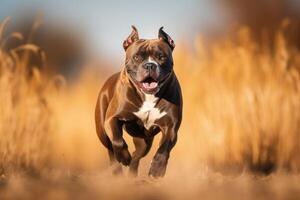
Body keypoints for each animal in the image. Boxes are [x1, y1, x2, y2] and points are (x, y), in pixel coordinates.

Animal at [95, 25, 182, 177]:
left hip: (145, 141)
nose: (149, 65)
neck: (148, 96)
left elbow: (164, 148)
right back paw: (118, 170)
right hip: (102, 132)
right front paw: (124, 156)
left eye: (161, 57)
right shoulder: (112, 118)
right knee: (111, 150)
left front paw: (157, 169)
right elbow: (118, 140)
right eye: (136, 57)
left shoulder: (171, 127)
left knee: (137, 155)